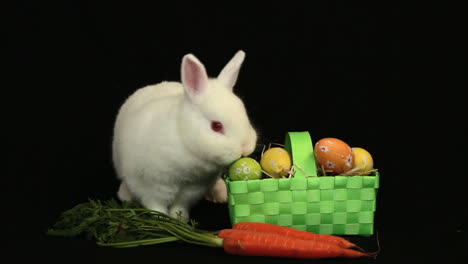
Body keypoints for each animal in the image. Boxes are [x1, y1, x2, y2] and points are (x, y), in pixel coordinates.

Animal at [112, 50, 258, 220]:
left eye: (245, 115)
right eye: (216, 126)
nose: (245, 149)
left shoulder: (193, 188)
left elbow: (181, 205)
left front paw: (179, 219)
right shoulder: (152, 186)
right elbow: (156, 206)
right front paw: (162, 219)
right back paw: (125, 195)